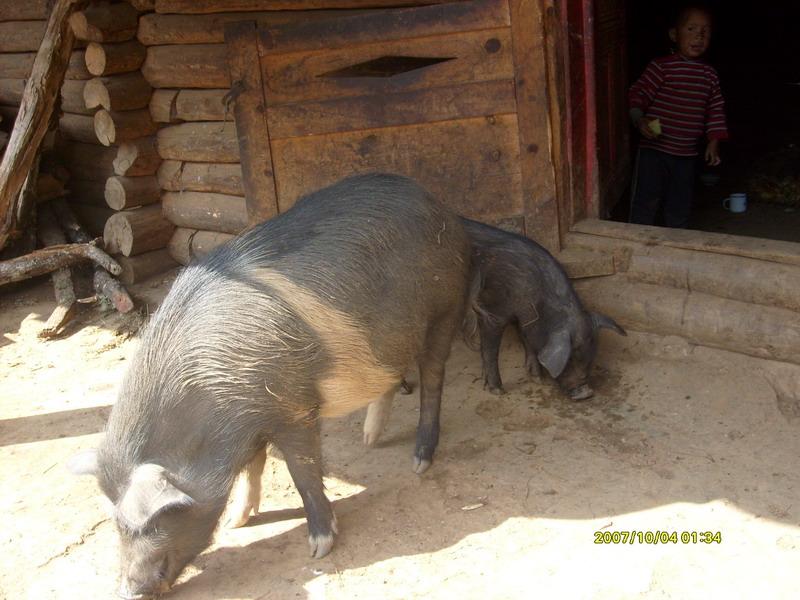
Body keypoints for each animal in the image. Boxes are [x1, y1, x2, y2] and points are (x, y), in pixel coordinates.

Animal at [69, 173, 472, 600]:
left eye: (156, 518)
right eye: (116, 522)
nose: (129, 590)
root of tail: (437, 204)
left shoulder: (294, 409)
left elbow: (302, 470)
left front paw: (319, 548)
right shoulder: (250, 423)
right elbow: (253, 468)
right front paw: (237, 522)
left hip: (445, 309)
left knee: (433, 379)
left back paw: (419, 462)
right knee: (392, 376)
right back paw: (370, 441)